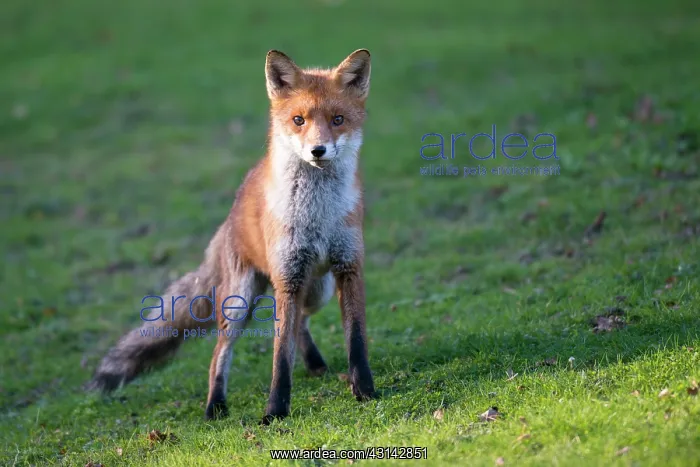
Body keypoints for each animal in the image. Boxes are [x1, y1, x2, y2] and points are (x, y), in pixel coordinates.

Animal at [87, 49, 376, 424]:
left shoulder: (347, 268)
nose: (318, 150)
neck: (318, 215)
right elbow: (279, 357)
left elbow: (355, 339)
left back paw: (314, 364)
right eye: (298, 120)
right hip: (242, 301)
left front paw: (365, 391)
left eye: (338, 119)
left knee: (299, 323)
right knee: (220, 352)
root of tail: (231, 215)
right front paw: (274, 412)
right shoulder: (289, 279)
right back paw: (215, 405)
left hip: (317, 289)